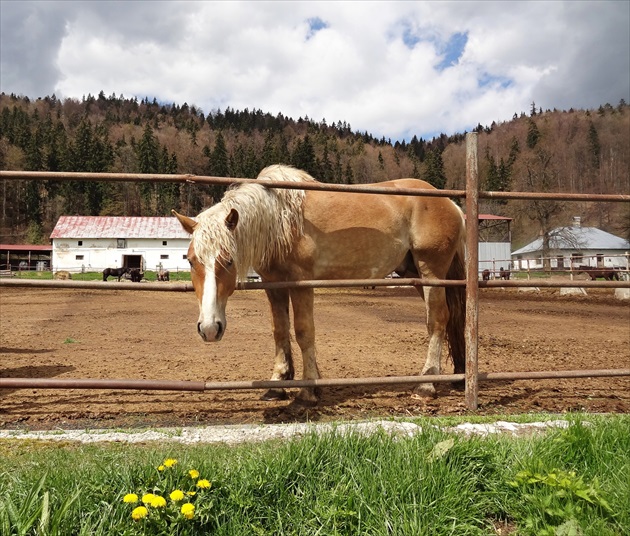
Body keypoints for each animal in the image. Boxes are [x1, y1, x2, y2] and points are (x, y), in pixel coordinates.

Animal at [174, 163, 470, 402]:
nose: (209, 329)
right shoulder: (273, 284)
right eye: (190, 260)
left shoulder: (301, 283)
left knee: (437, 321)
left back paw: (426, 384)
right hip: (416, 274)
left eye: (228, 261)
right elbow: (280, 331)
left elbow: (304, 332)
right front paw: (278, 384)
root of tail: (452, 204)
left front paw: (309, 390)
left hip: (431, 273)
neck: (280, 219)